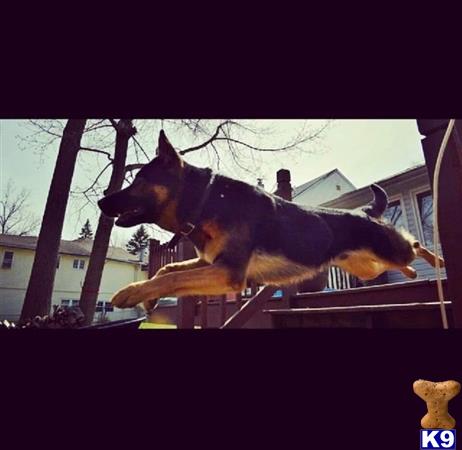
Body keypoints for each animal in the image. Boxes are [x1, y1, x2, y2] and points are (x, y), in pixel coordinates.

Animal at [98, 130, 444, 310]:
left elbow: (168, 277)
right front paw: (149, 297)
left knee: (414, 244)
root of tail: (364, 212)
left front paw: (133, 292)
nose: (101, 201)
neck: (206, 200)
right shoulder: (211, 262)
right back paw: (414, 273)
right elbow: (167, 270)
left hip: (391, 251)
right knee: (404, 261)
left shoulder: (228, 272)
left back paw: (436, 261)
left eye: (139, 180)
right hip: (368, 268)